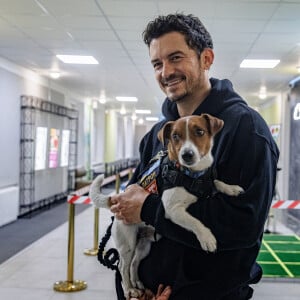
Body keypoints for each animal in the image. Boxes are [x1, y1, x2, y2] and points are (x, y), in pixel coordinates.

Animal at [89, 113, 244, 298]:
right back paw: (129, 289)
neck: (192, 175)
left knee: (134, 263)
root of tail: (115, 198)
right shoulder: (172, 210)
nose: (187, 155)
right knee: (122, 266)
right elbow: (195, 222)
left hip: (144, 246)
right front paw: (207, 238)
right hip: (127, 243)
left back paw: (137, 283)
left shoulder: (207, 182)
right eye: (175, 136)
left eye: (200, 132)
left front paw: (231, 188)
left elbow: (216, 182)